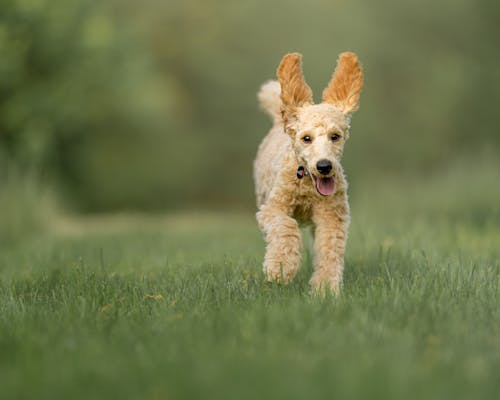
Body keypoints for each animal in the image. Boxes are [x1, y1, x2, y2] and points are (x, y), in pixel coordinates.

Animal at [254, 51, 364, 296]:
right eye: (306, 138)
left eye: (335, 136)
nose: (324, 166)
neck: (305, 183)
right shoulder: (273, 208)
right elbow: (285, 228)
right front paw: (280, 269)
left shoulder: (332, 215)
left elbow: (329, 248)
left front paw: (325, 289)